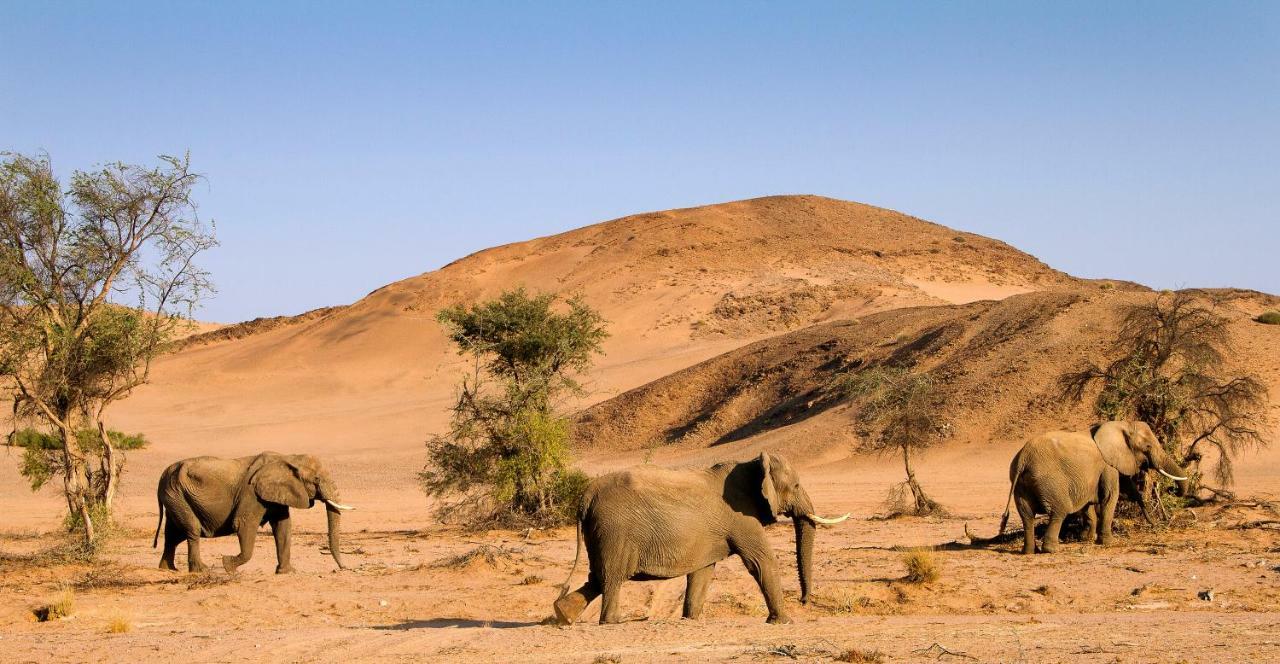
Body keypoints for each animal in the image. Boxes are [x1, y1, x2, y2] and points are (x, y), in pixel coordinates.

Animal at [154, 455, 355, 573]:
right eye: (316, 480)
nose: (342, 568)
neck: (288, 458)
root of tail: (163, 475)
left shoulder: (275, 494)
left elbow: (283, 527)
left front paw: (287, 572)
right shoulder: (251, 494)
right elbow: (244, 524)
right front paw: (228, 566)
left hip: (175, 497)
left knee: (173, 535)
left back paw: (168, 569)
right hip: (177, 495)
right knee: (192, 531)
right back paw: (201, 570)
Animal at [552, 450, 844, 626]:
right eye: (796, 486)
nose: (804, 601)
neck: (752, 464)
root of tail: (586, 496)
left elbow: (703, 572)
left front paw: (691, 619)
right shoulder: (742, 517)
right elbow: (761, 562)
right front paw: (783, 622)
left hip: (600, 532)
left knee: (597, 578)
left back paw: (562, 615)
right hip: (614, 530)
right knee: (611, 578)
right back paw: (612, 622)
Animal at [977, 422, 1187, 555]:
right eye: (1148, 446)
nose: (1156, 524)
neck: (1118, 424)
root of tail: (1023, 458)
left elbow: (1088, 506)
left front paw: (1086, 539)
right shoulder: (1107, 465)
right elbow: (1109, 497)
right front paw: (1107, 542)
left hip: (1021, 485)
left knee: (1027, 516)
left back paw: (1029, 552)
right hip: (1050, 482)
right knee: (1058, 512)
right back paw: (1052, 550)